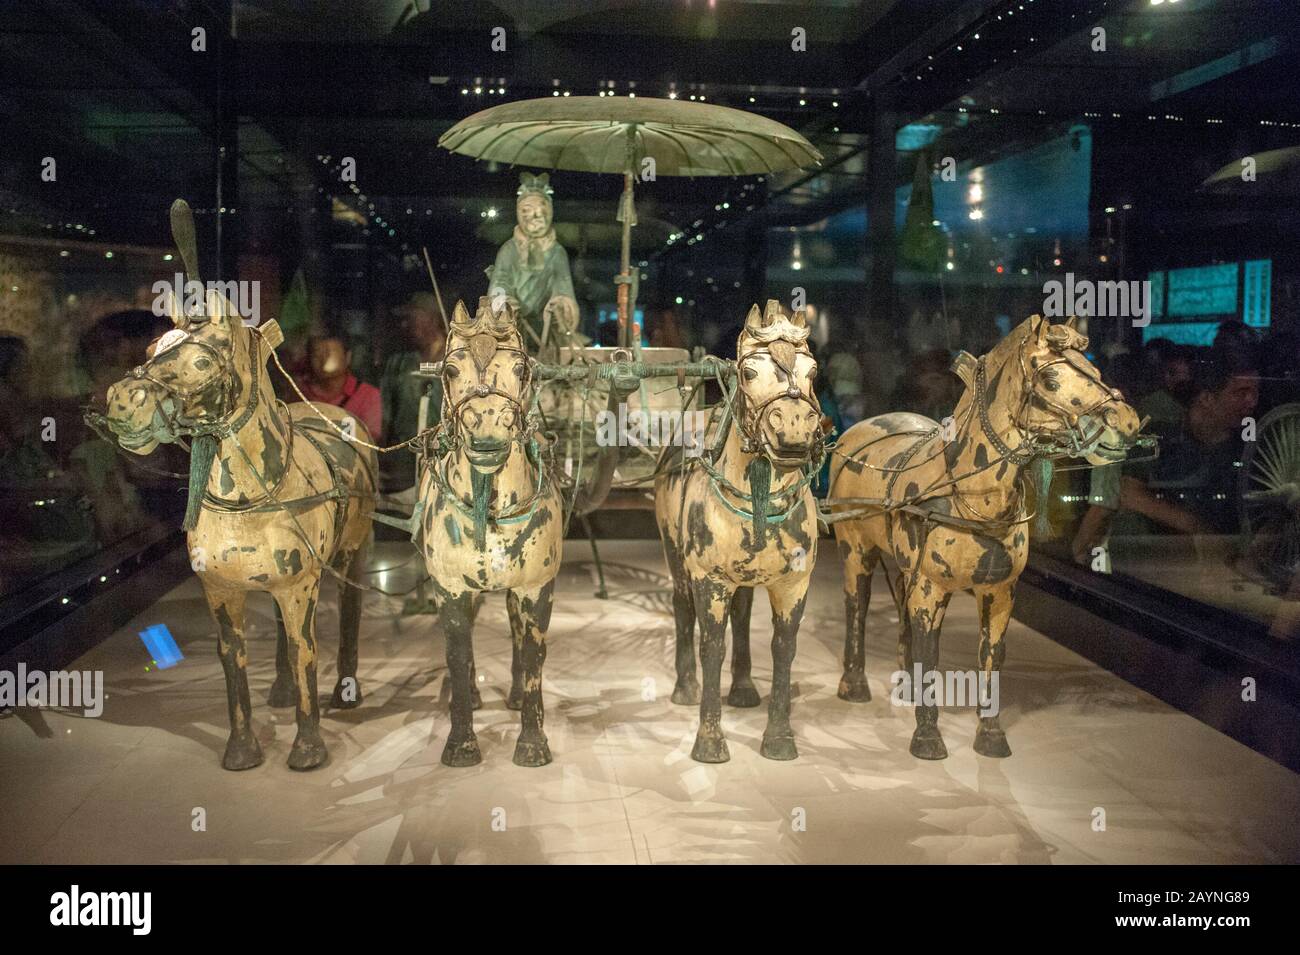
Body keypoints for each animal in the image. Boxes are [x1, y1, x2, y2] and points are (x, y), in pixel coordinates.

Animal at [98, 200, 374, 769]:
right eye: (154, 346)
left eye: (203, 360)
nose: (122, 402)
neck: (250, 501)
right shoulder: (222, 589)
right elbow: (233, 660)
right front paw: (243, 750)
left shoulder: (302, 584)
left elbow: (306, 649)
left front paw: (308, 748)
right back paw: (283, 691)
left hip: (352, 551)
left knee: (350, 612)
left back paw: (346, 689)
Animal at [413, 294, 561, 764]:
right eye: (450, 370)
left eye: (521, 369)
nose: (488, 433)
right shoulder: (451, 588)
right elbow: (457, 655)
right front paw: (461, 742)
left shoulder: (536, 586)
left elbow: (533, 656)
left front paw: (532, 742)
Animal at [655, 298, 816, 764]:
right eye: (748, 373)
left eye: (812, 371)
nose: (794, 429)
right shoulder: (710, 580)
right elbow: (712, 645)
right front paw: (709, 740)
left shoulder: (794, 583)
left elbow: (783, 648)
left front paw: (779, 737)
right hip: (675, 556)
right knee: (681, 607)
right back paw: (685, 687)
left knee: (742, 615)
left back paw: (743, 688)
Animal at [832, 317, 1138, 758]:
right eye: (1050, 380)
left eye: (1095, 370)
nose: (1126, 421)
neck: (968, 492)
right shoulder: (931, 587)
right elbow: (930, 650)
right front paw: (927, 736)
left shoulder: (1000, 592)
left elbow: (992, 654)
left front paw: (991, 734)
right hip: (856, 549)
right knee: (857, 603)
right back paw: (854, 683)